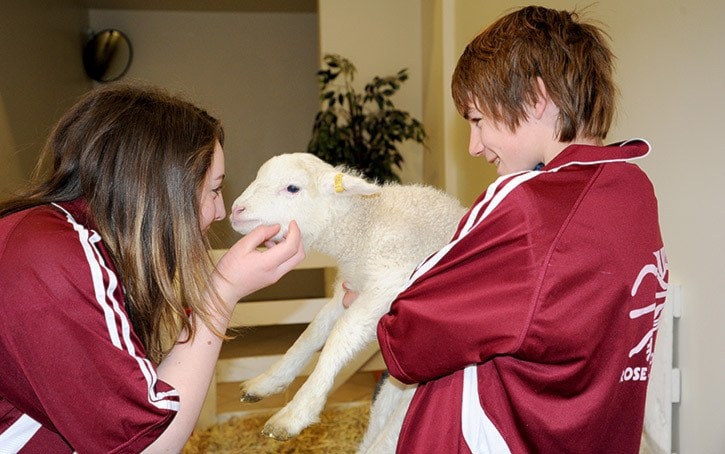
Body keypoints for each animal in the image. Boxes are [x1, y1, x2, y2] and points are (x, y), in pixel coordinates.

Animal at [229, 153, 466, 450]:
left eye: (292, 188)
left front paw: (296, 412)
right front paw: (267, 382)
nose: (236, 210)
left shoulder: (391, 283)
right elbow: (313, 333)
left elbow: (340, 335)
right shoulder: (350, 289)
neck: (364, 228)